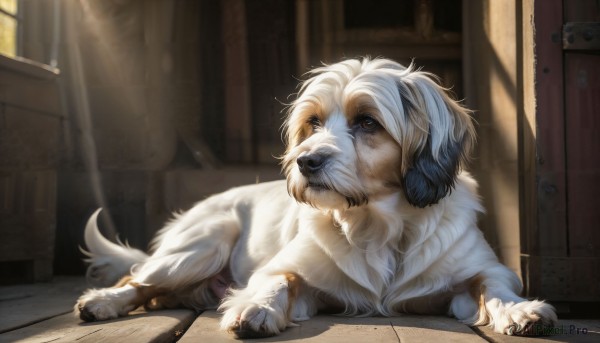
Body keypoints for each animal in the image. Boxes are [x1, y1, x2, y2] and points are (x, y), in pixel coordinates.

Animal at [75, 57, 556, 338]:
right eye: (313, 122)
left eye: (367, 122)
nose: (305, 161)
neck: (378, 226)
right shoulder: (288, 270)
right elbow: (278, 282)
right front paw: (256, 308)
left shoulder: (483, 270)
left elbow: (493, 287)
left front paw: (520, 312)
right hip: (201, 246)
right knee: (136, 279)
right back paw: (101, 302)